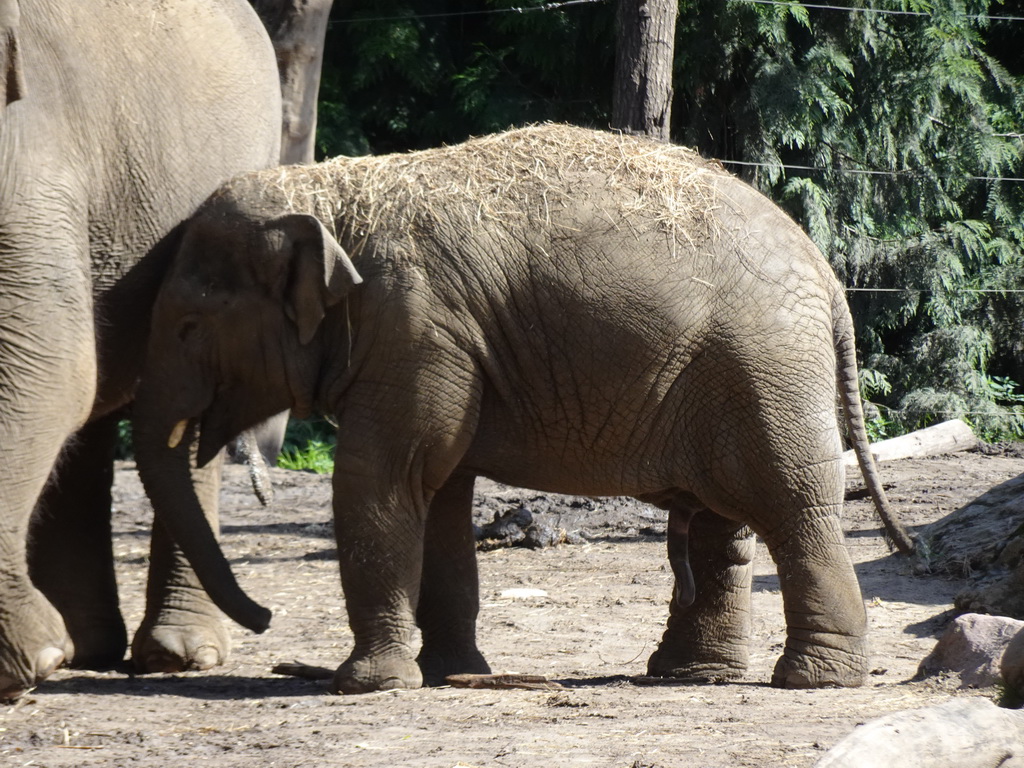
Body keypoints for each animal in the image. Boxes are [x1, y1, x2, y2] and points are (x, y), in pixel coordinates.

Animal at [0, 0, 280, 700]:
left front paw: (26, 662)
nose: (267, 619)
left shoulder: (30, 151)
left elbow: (47, 364)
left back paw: (176, 655)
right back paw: (83, 648)